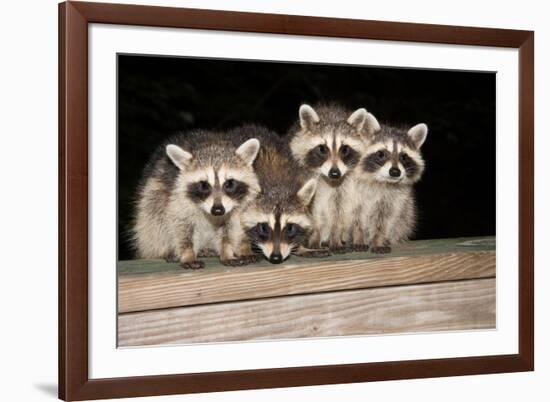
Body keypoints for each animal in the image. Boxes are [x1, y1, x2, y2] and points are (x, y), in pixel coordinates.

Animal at [134, 130, 264, 268]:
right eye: (204, 185)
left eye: (229, 183)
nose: (218, 210)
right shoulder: (177, 200)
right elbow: (181, 227)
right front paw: (188, 254)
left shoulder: (236, 209)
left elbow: (230, 230)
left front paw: (227, 251)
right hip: (152, 196)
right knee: (154, 220)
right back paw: (165, 250)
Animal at [235, 125, 330, 264]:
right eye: (263, 227)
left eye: (290, 228)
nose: (276, 257)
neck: (277, 183)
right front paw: (244, 248)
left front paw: (301, 246)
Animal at [288, 103, 384, 251]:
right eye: (322, 149)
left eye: (344, 149)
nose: (335, 173)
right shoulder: (307, 179)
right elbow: (313, 210)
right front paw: (315, 236)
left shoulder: (345, 186)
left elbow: (339, 211)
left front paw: (336, 236)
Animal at [354, 118, 432, 253]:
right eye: (381, 154)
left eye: (404, 156)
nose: (395, 172)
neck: (382, 181)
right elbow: (355, 217)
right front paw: (358, 237)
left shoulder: (392, 200)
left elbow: (384, 220)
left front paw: (378, 239)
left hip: (406, 214)